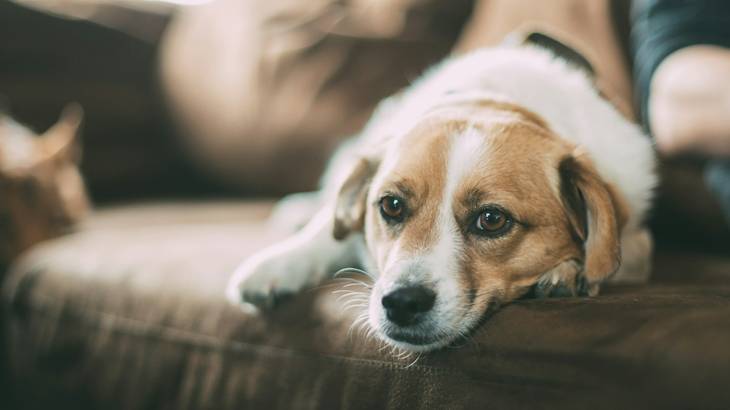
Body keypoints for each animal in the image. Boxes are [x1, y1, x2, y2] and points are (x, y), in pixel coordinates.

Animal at [226, 36, 656, 352]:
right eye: (391, 205)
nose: (401, 303)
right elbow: (327, 231)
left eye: (492, 219)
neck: (493, 100)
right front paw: (278, 264)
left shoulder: (635, 239)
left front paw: (568, 270)